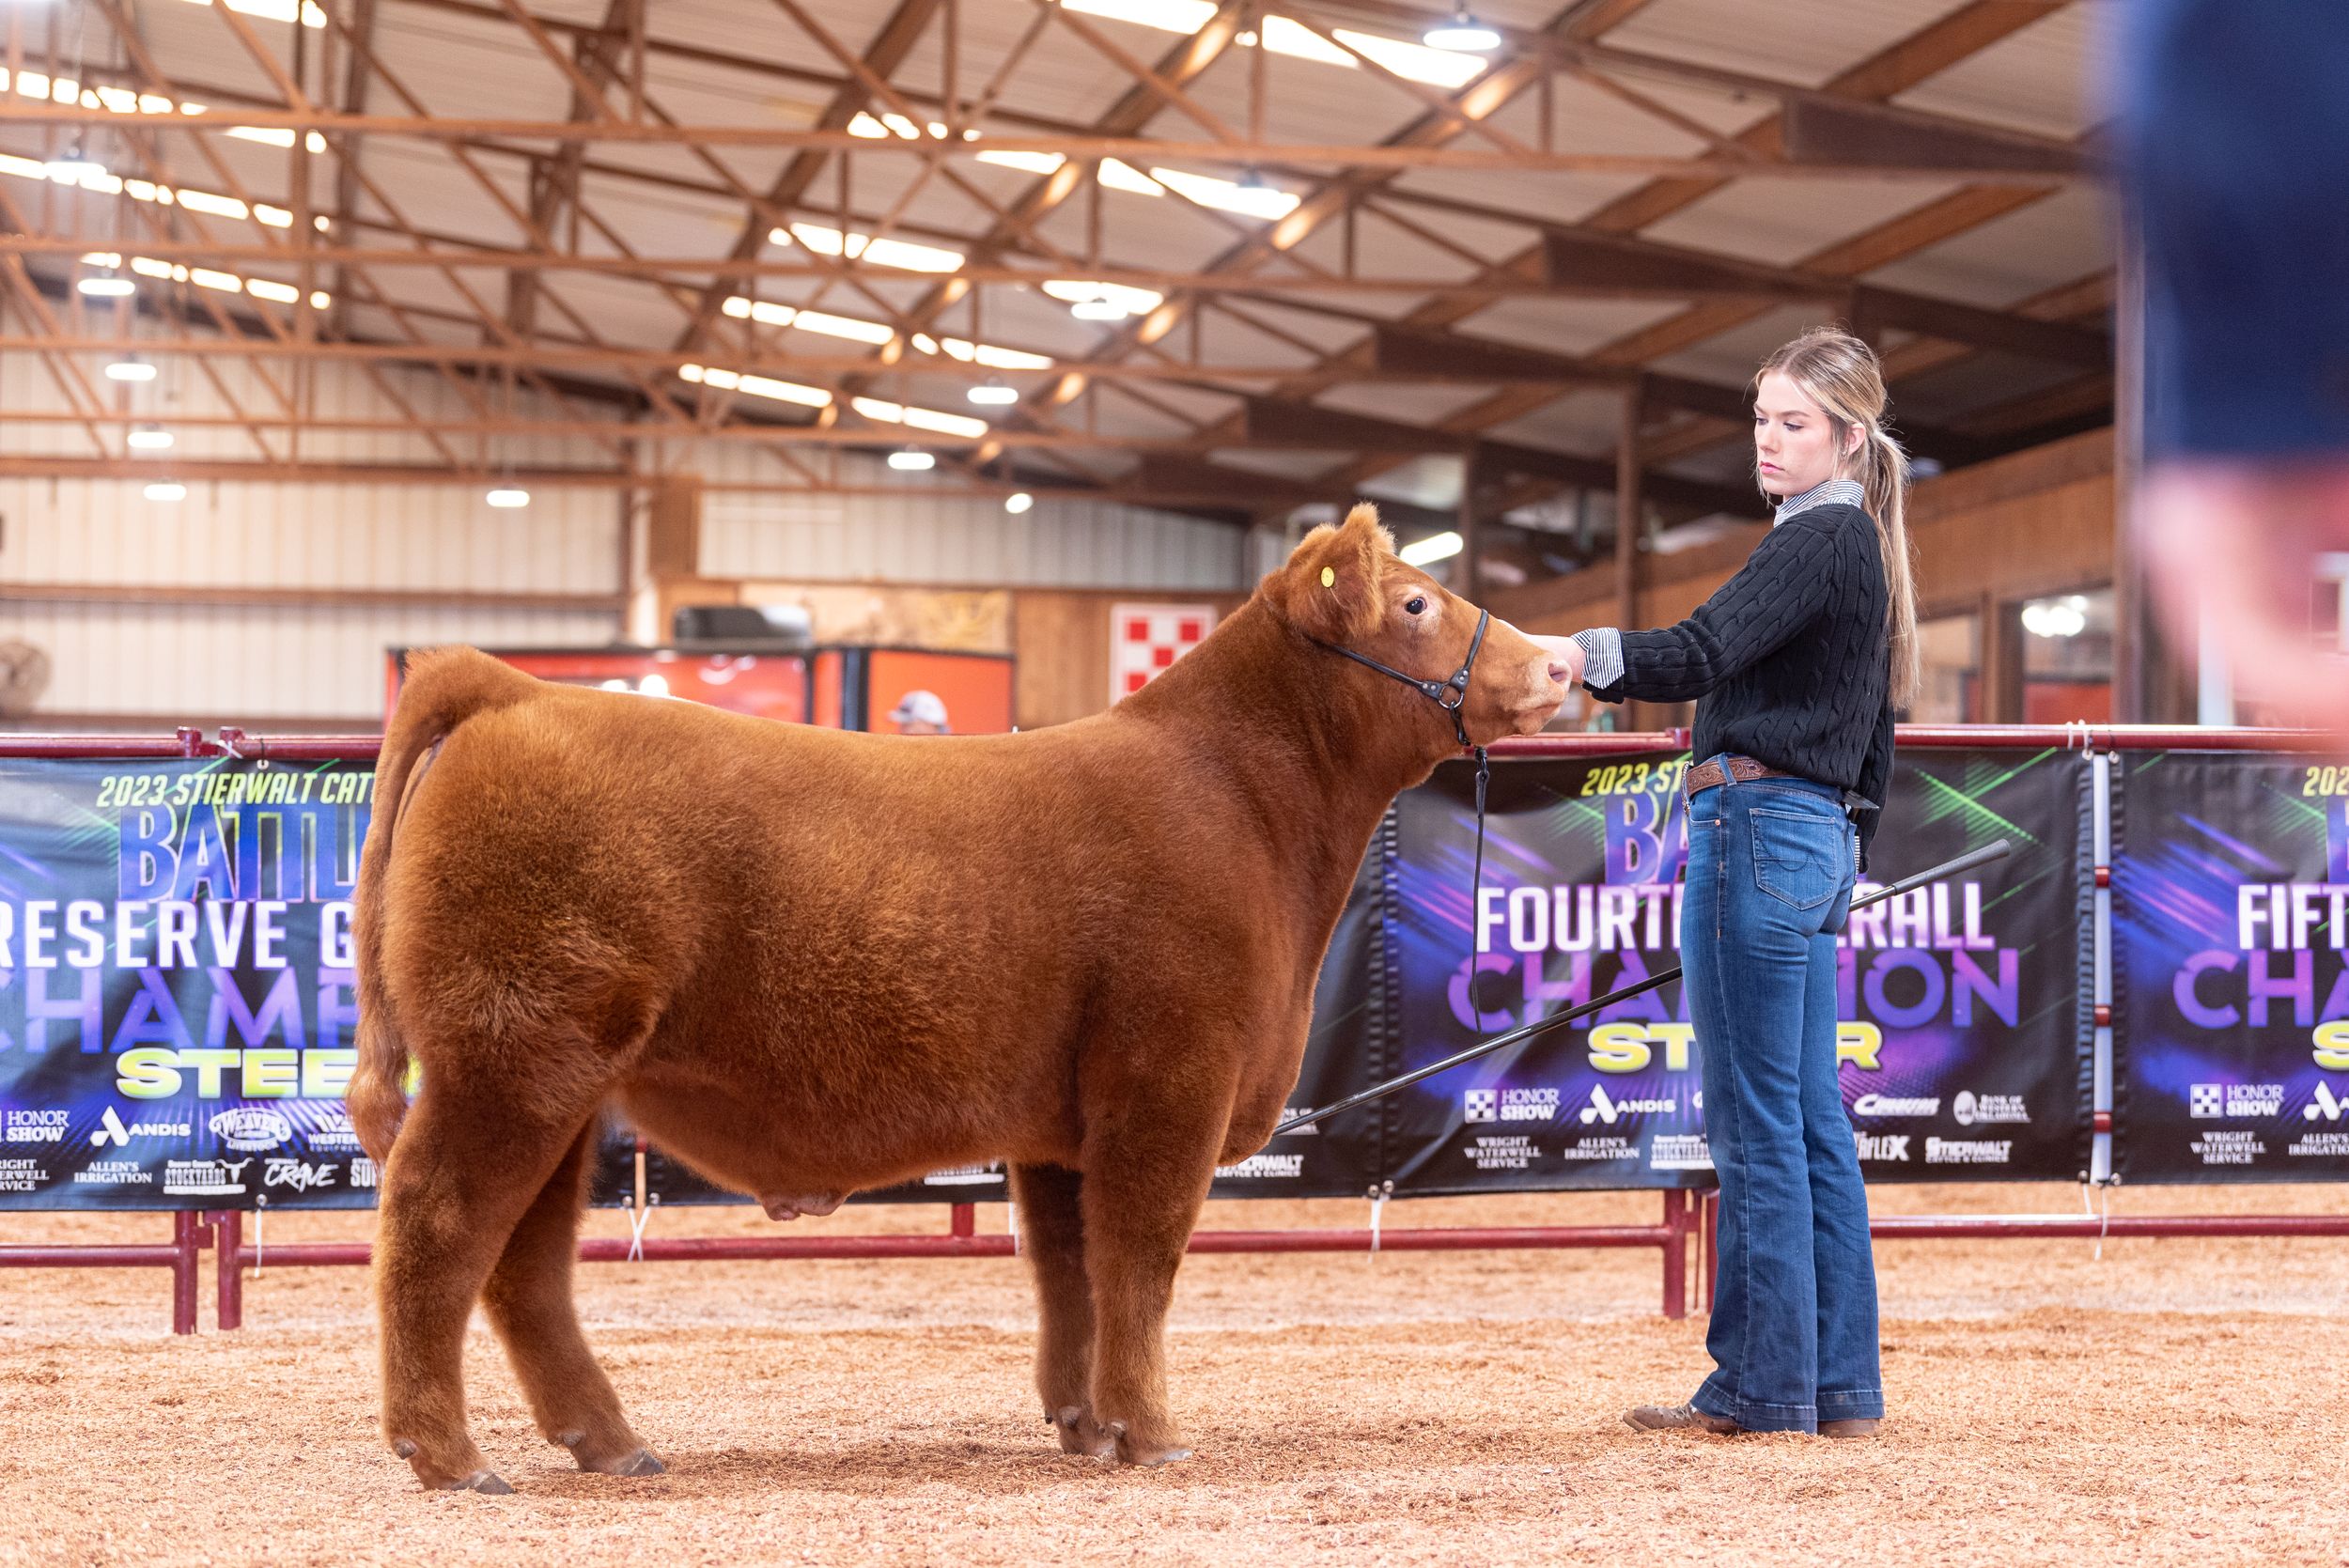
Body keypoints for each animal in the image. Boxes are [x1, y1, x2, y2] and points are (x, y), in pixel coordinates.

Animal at [346, 504, 1574, 1492]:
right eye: (1414, 600)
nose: (1563, 660)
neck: (1244, 805)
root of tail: (515, 688)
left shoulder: (1068, 1123)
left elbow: (1071, 1268)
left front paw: (1086, 1422)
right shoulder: (1172, 1073)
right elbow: (1141, 1260)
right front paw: (1153, 1433)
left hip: (557, 1081)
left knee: (524, 1263)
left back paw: (610, 1442)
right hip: (514, 1055)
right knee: (437, 1222)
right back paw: (449, 1456)